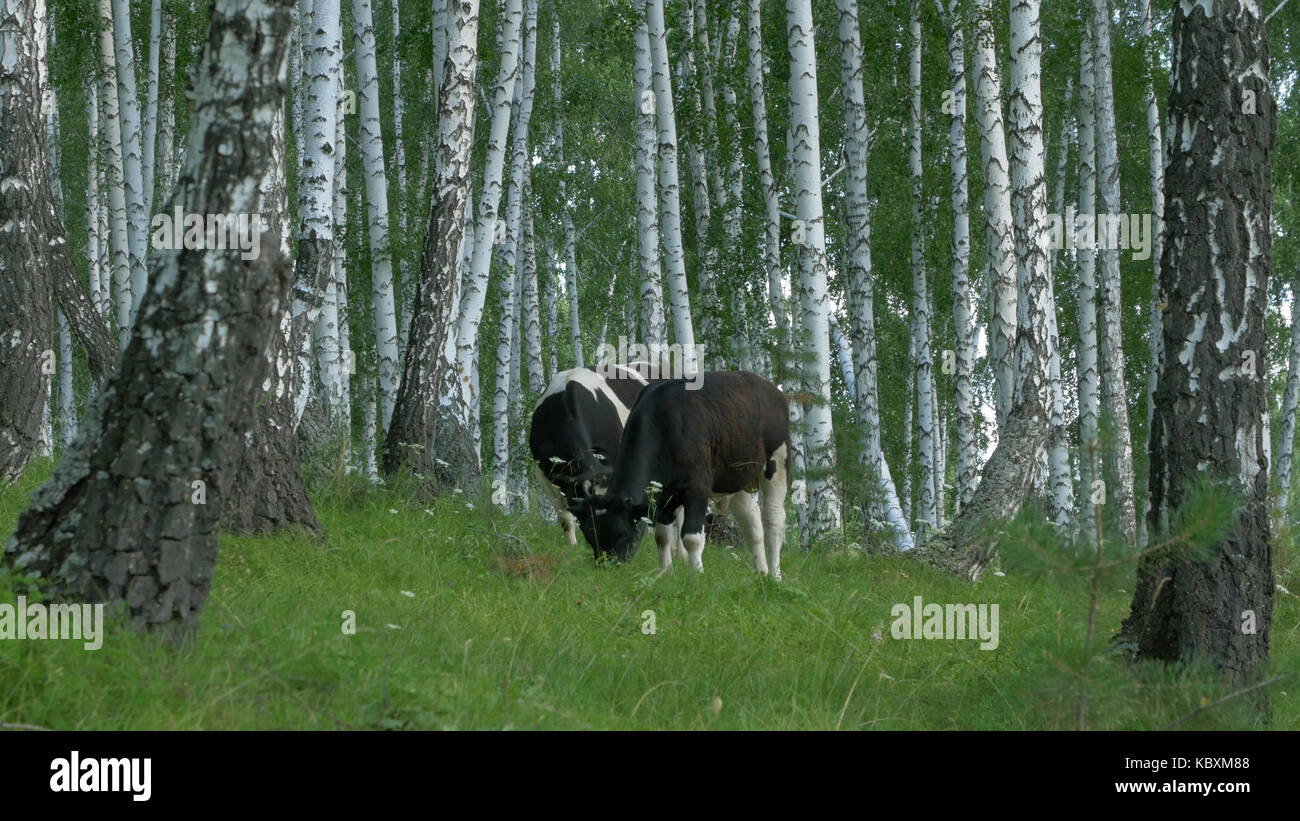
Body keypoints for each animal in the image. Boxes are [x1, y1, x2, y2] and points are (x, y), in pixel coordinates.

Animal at [570, 371, 790, 580]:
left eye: (622, 535)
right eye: (590, 536)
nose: (607, 569)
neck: (665, 423)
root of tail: (772, 389)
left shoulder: (697, 487)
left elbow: (691, 538)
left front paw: (696, 576)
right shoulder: (663, 496)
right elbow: (662, 537)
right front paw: (665, 572)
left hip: (778, 464)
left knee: (774, 520)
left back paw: (775, 575)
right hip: (734, 479)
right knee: (752, 522)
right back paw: (761, 572)